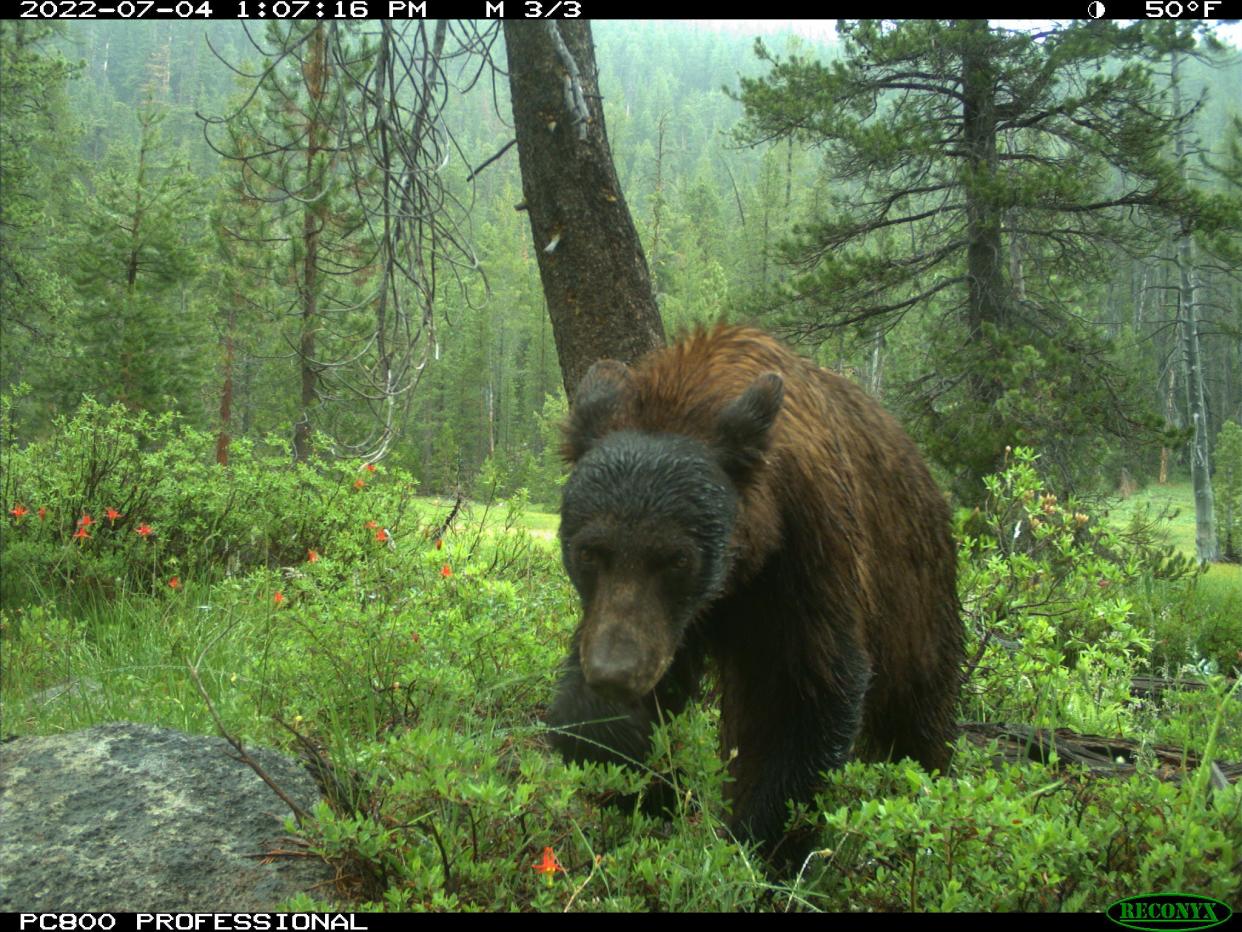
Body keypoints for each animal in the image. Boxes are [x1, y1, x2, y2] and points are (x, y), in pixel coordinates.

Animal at [548, 325, 963, 869]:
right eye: (589, 551)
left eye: (677, 557)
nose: (615, 673)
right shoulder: (662, 621)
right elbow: (593, 715)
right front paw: (633, 768)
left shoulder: (806, 555)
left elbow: (805, 695)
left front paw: (759, 845)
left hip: (917, 603)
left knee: (918, 713)